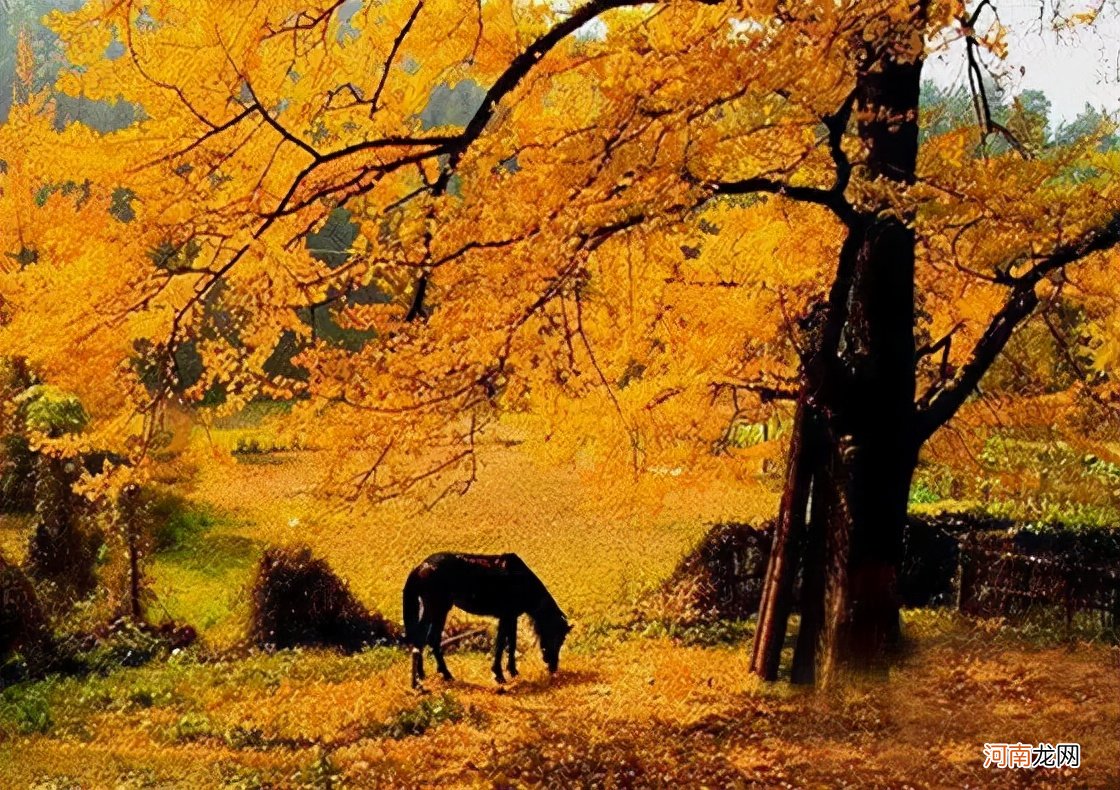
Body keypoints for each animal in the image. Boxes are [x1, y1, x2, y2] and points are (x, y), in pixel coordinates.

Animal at [403, 551, 573, 685]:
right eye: (558, 637)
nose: (553, 667)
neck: (520, 581)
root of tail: (420, 567)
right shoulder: (505, 616)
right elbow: (501, 644)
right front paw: (499, 675)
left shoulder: (511, 617)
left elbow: (511, 644)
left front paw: (513, 672)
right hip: (437, 609)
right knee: (424, 638)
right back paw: (434, 676)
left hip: (437, 610)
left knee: (427, 639)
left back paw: (428, 675)